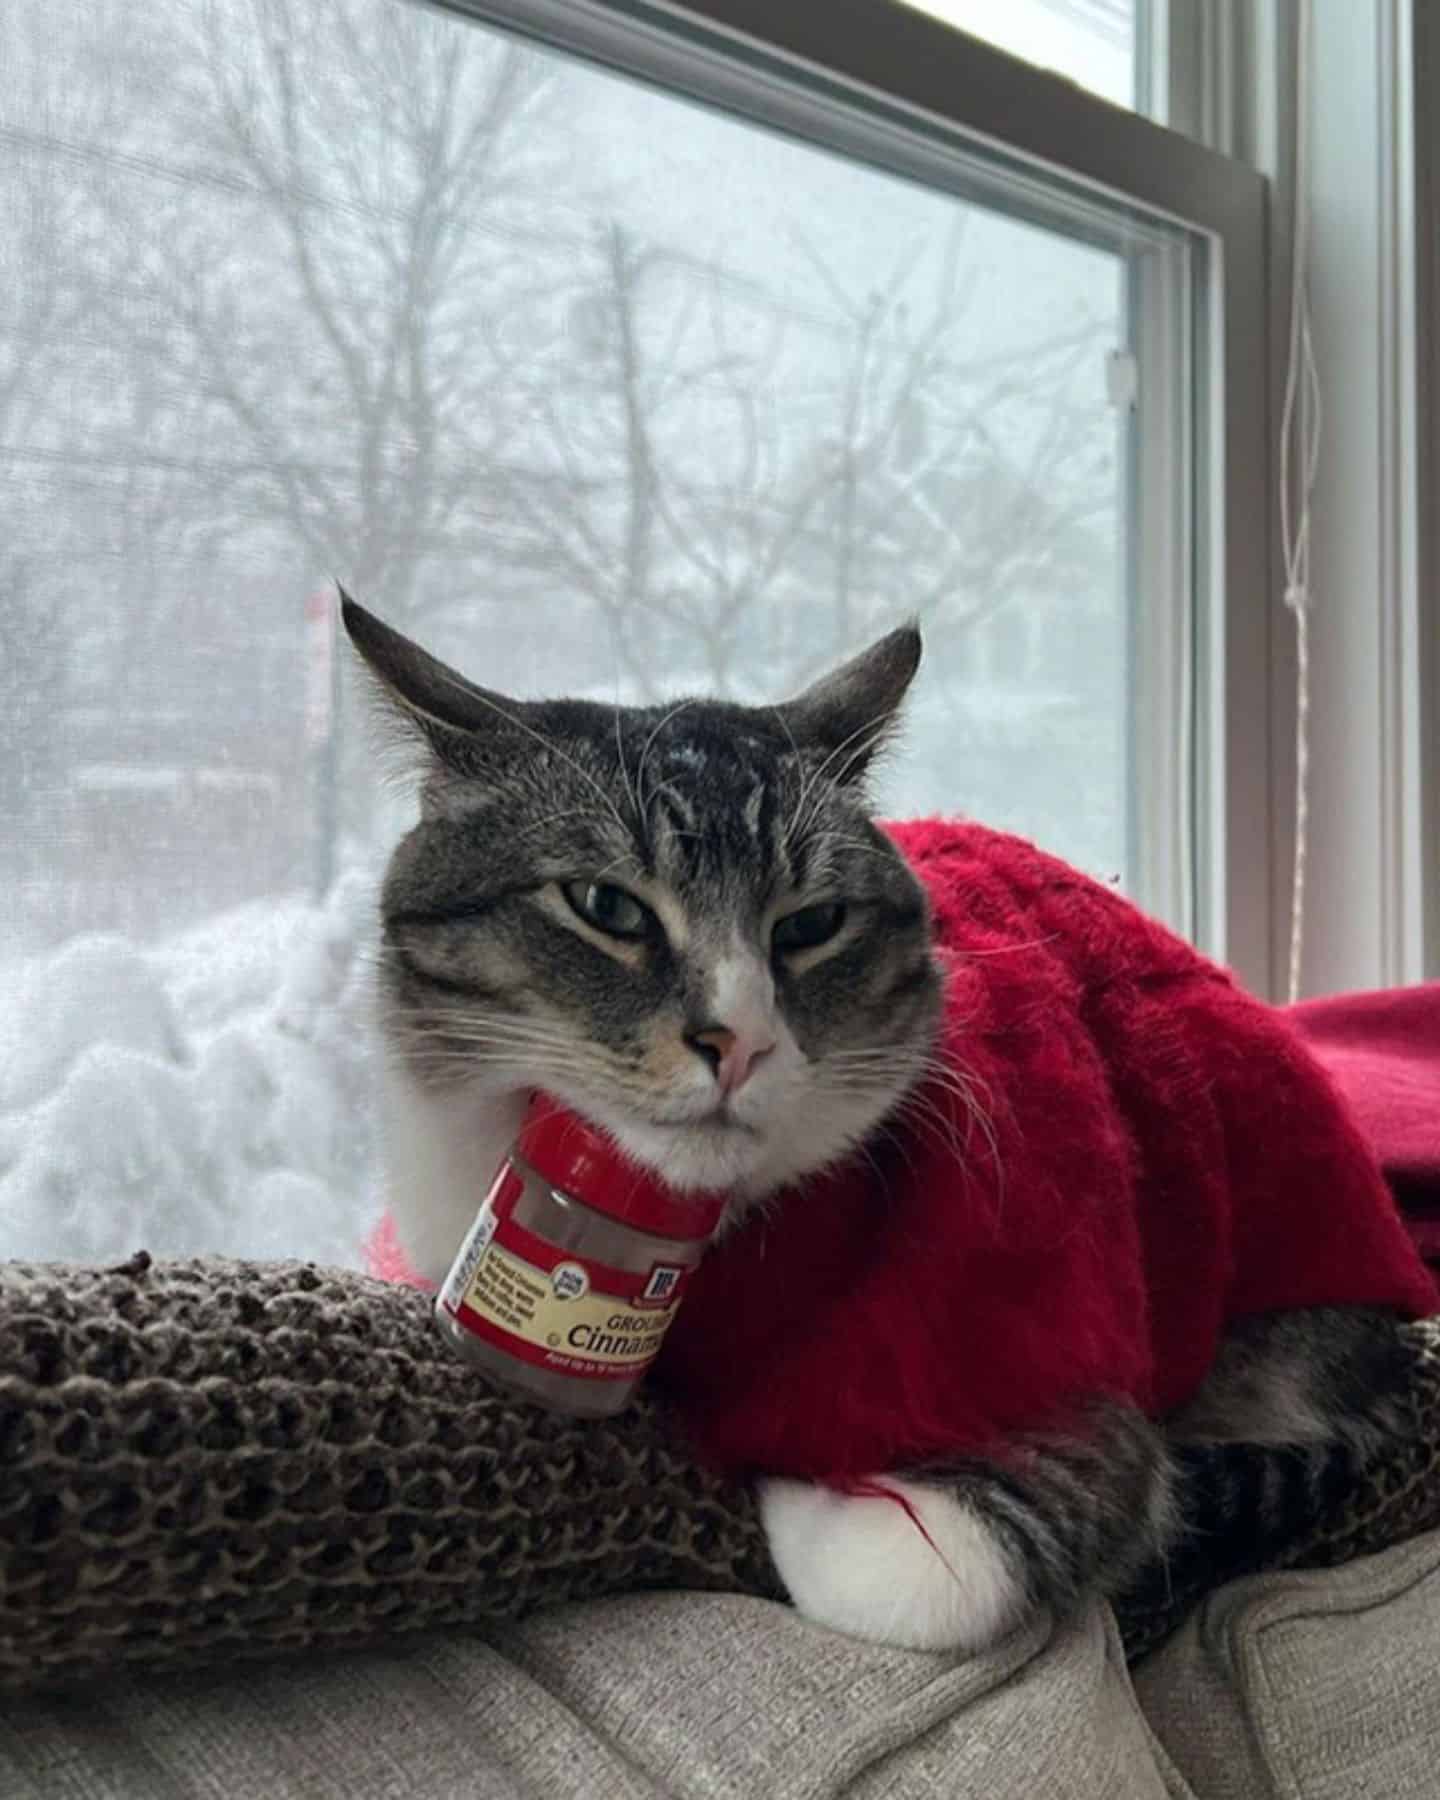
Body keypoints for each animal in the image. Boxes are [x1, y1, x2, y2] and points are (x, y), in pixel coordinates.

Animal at [340, 594, 1425, 1656]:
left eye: (811, 924)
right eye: (606, 904)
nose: (739, 1040)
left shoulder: (1070, 1369)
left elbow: (911, 1568)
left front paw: (804, 1481)